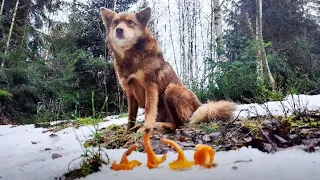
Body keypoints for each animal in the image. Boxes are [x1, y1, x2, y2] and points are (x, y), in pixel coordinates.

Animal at [100, 7, 238, 133]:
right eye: (115, 22)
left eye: (130, 22)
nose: (119, 29)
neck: (130, 56)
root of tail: (200, 106)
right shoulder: (130, 93)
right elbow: (130, 117)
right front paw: (128, 131)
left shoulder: (150, 86)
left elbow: (149, 110)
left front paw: (146, 127)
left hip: (171, 89)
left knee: (180, 123)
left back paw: (157, 125)